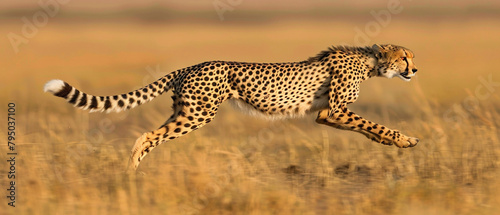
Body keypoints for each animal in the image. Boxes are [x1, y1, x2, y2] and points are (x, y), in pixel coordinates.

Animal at [43, 44, 420, 171]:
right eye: (404, 57)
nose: (414, 70)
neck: (370, 61)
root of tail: (191, 65)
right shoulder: (334, 110)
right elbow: (371, 123)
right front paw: (405, 140)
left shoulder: (325, 114)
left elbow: (365, 127)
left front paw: (391, 142)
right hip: (198, 114)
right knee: (149, 135)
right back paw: (132, 169)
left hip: (184, 110)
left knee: (153, 134)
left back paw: (133, 169)